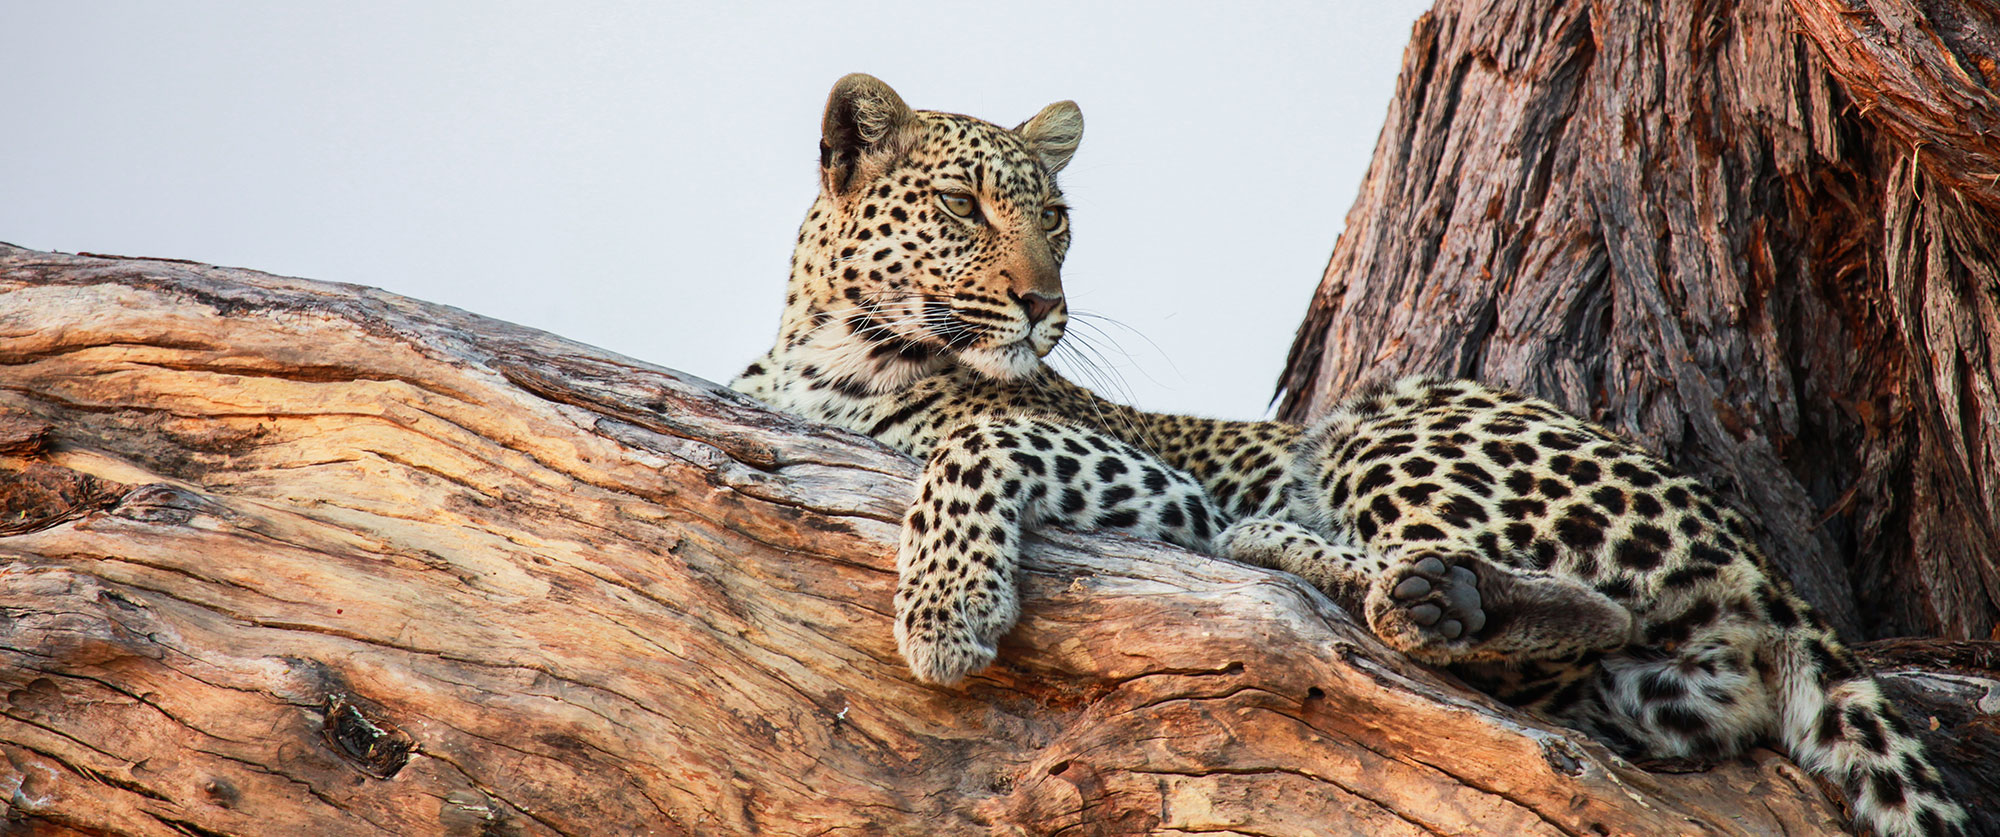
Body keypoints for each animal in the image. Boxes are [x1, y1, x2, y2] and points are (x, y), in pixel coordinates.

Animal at [736, 73, 1968, 837]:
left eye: (1060, 220)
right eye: (961, 205)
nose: (1048, 305)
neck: (826, 347)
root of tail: (1754, 556)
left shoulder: (1158, 486)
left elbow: (976, 433)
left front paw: (944, 610)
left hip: (1383, 424)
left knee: (1573, 607)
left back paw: (1398, 580)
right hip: (1655, 683)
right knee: (1561, 668)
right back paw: (1402, 588)